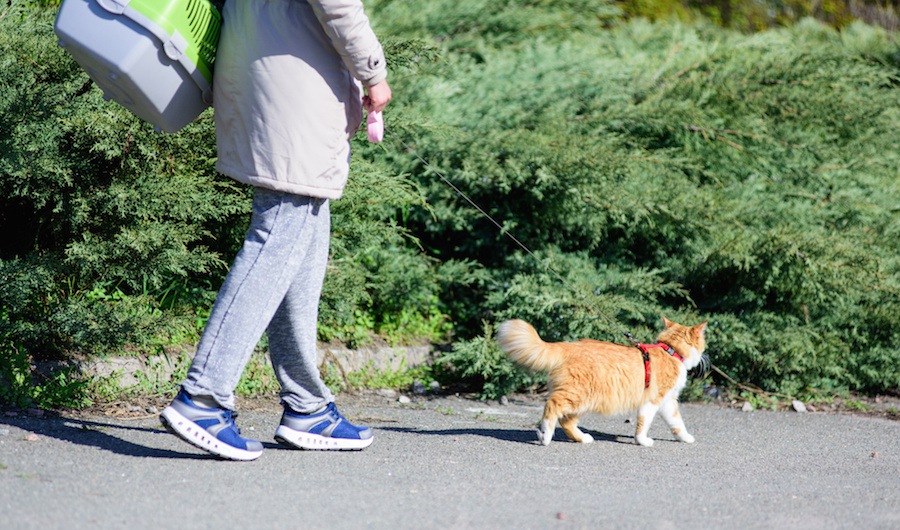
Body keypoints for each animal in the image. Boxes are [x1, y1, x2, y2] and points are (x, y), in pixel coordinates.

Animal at [496, 316, 708, 444]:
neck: (670, 351)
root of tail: (569, 345)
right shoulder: (652, 401)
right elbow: (643, 424)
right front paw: (642, 441)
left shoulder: (668, 401)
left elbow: (677, 423)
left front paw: (685, 438)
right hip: (578, 395)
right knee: (552, 407)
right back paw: (545, 436)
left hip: (582, 401)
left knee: (566, 421)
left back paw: (582, 438)